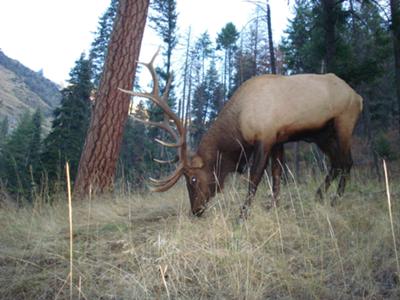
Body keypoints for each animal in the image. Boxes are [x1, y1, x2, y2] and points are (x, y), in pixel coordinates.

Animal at [119, 51, 362, 218]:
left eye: (193, 179)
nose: (195, 211)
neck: (239, 124)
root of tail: (358, 97)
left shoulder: (265, 137)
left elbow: (255, 177)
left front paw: (242, 214)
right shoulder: (278, 138)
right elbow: (277, 174)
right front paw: (273, 206)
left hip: (344, 122)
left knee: (347, 162)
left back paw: (334, 200)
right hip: (323, 135)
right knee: (337, 163)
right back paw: (319, 195)